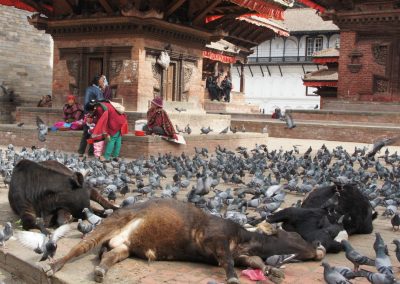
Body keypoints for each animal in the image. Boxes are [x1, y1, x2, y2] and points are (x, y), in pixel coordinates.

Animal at [48, 199, 326, 282]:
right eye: (294, 234)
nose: (319, 248)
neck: (245, 239)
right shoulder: (217, 241)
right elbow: (229, 262)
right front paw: (233, 278)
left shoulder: (238, 254)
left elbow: (256, 261)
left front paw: (272, 271)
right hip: (107, 226)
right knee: (79, 247)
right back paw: (54, 265)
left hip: (123, 248)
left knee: (108, 256)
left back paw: (100, 272)